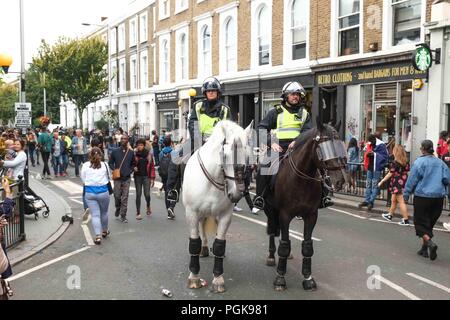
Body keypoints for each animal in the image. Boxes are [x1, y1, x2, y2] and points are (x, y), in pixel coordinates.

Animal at [183, 119, 253, 292]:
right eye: (225, 155)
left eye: (248, 156)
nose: (236, 194)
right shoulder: (191, 213)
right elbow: (193, 243)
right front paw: (194, 277)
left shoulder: (225, 216)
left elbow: (220, 244)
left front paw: (218, 279)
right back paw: (203, 249)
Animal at [264, 122, 348, 290]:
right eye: (324, 147)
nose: (340, 181)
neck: (301, 179)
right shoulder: (284, 214)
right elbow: (284, 245)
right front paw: (280, 278)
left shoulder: (311, 215)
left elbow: (307, 246)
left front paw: (308, 278)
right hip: (270, 209)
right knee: (272, 230)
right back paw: (271, 256)